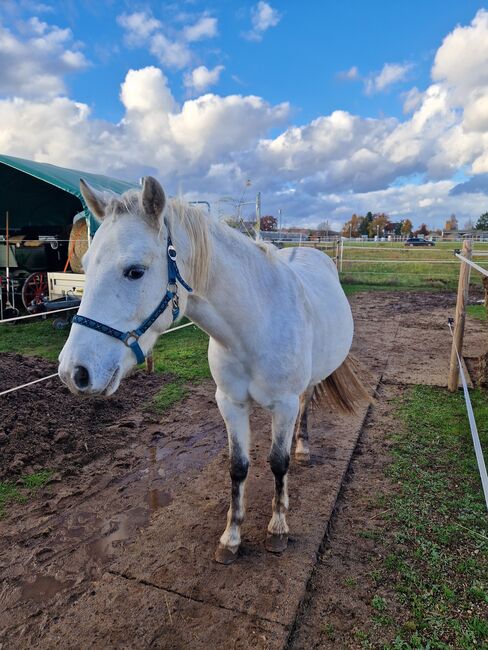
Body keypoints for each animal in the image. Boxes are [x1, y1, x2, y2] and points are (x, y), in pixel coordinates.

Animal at [58, 176, 366, 560]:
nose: (74, 371)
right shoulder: (230, 404)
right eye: (85, 265)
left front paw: (278, 527)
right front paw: (231, 537)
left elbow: (278, 462)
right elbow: (238, 467)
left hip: (304, 388)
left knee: (305, 406)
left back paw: (303, 449)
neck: (254, 324)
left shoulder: (283, 404)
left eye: (135, 271)